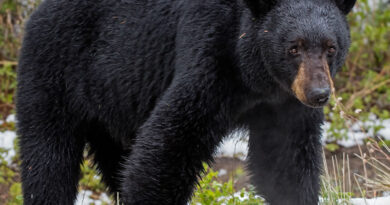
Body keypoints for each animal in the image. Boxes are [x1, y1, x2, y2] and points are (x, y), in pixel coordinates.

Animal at [16, 0, 354, 204]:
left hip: (113, 108)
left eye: (331, 47)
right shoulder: (209, 60)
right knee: (48, 158)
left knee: (117, 159)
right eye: (293, 48)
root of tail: (36, 14)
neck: (256, 81)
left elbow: (285, 162)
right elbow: (168, 146)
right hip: (54, 72)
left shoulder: (284, 106)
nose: (319, 93)